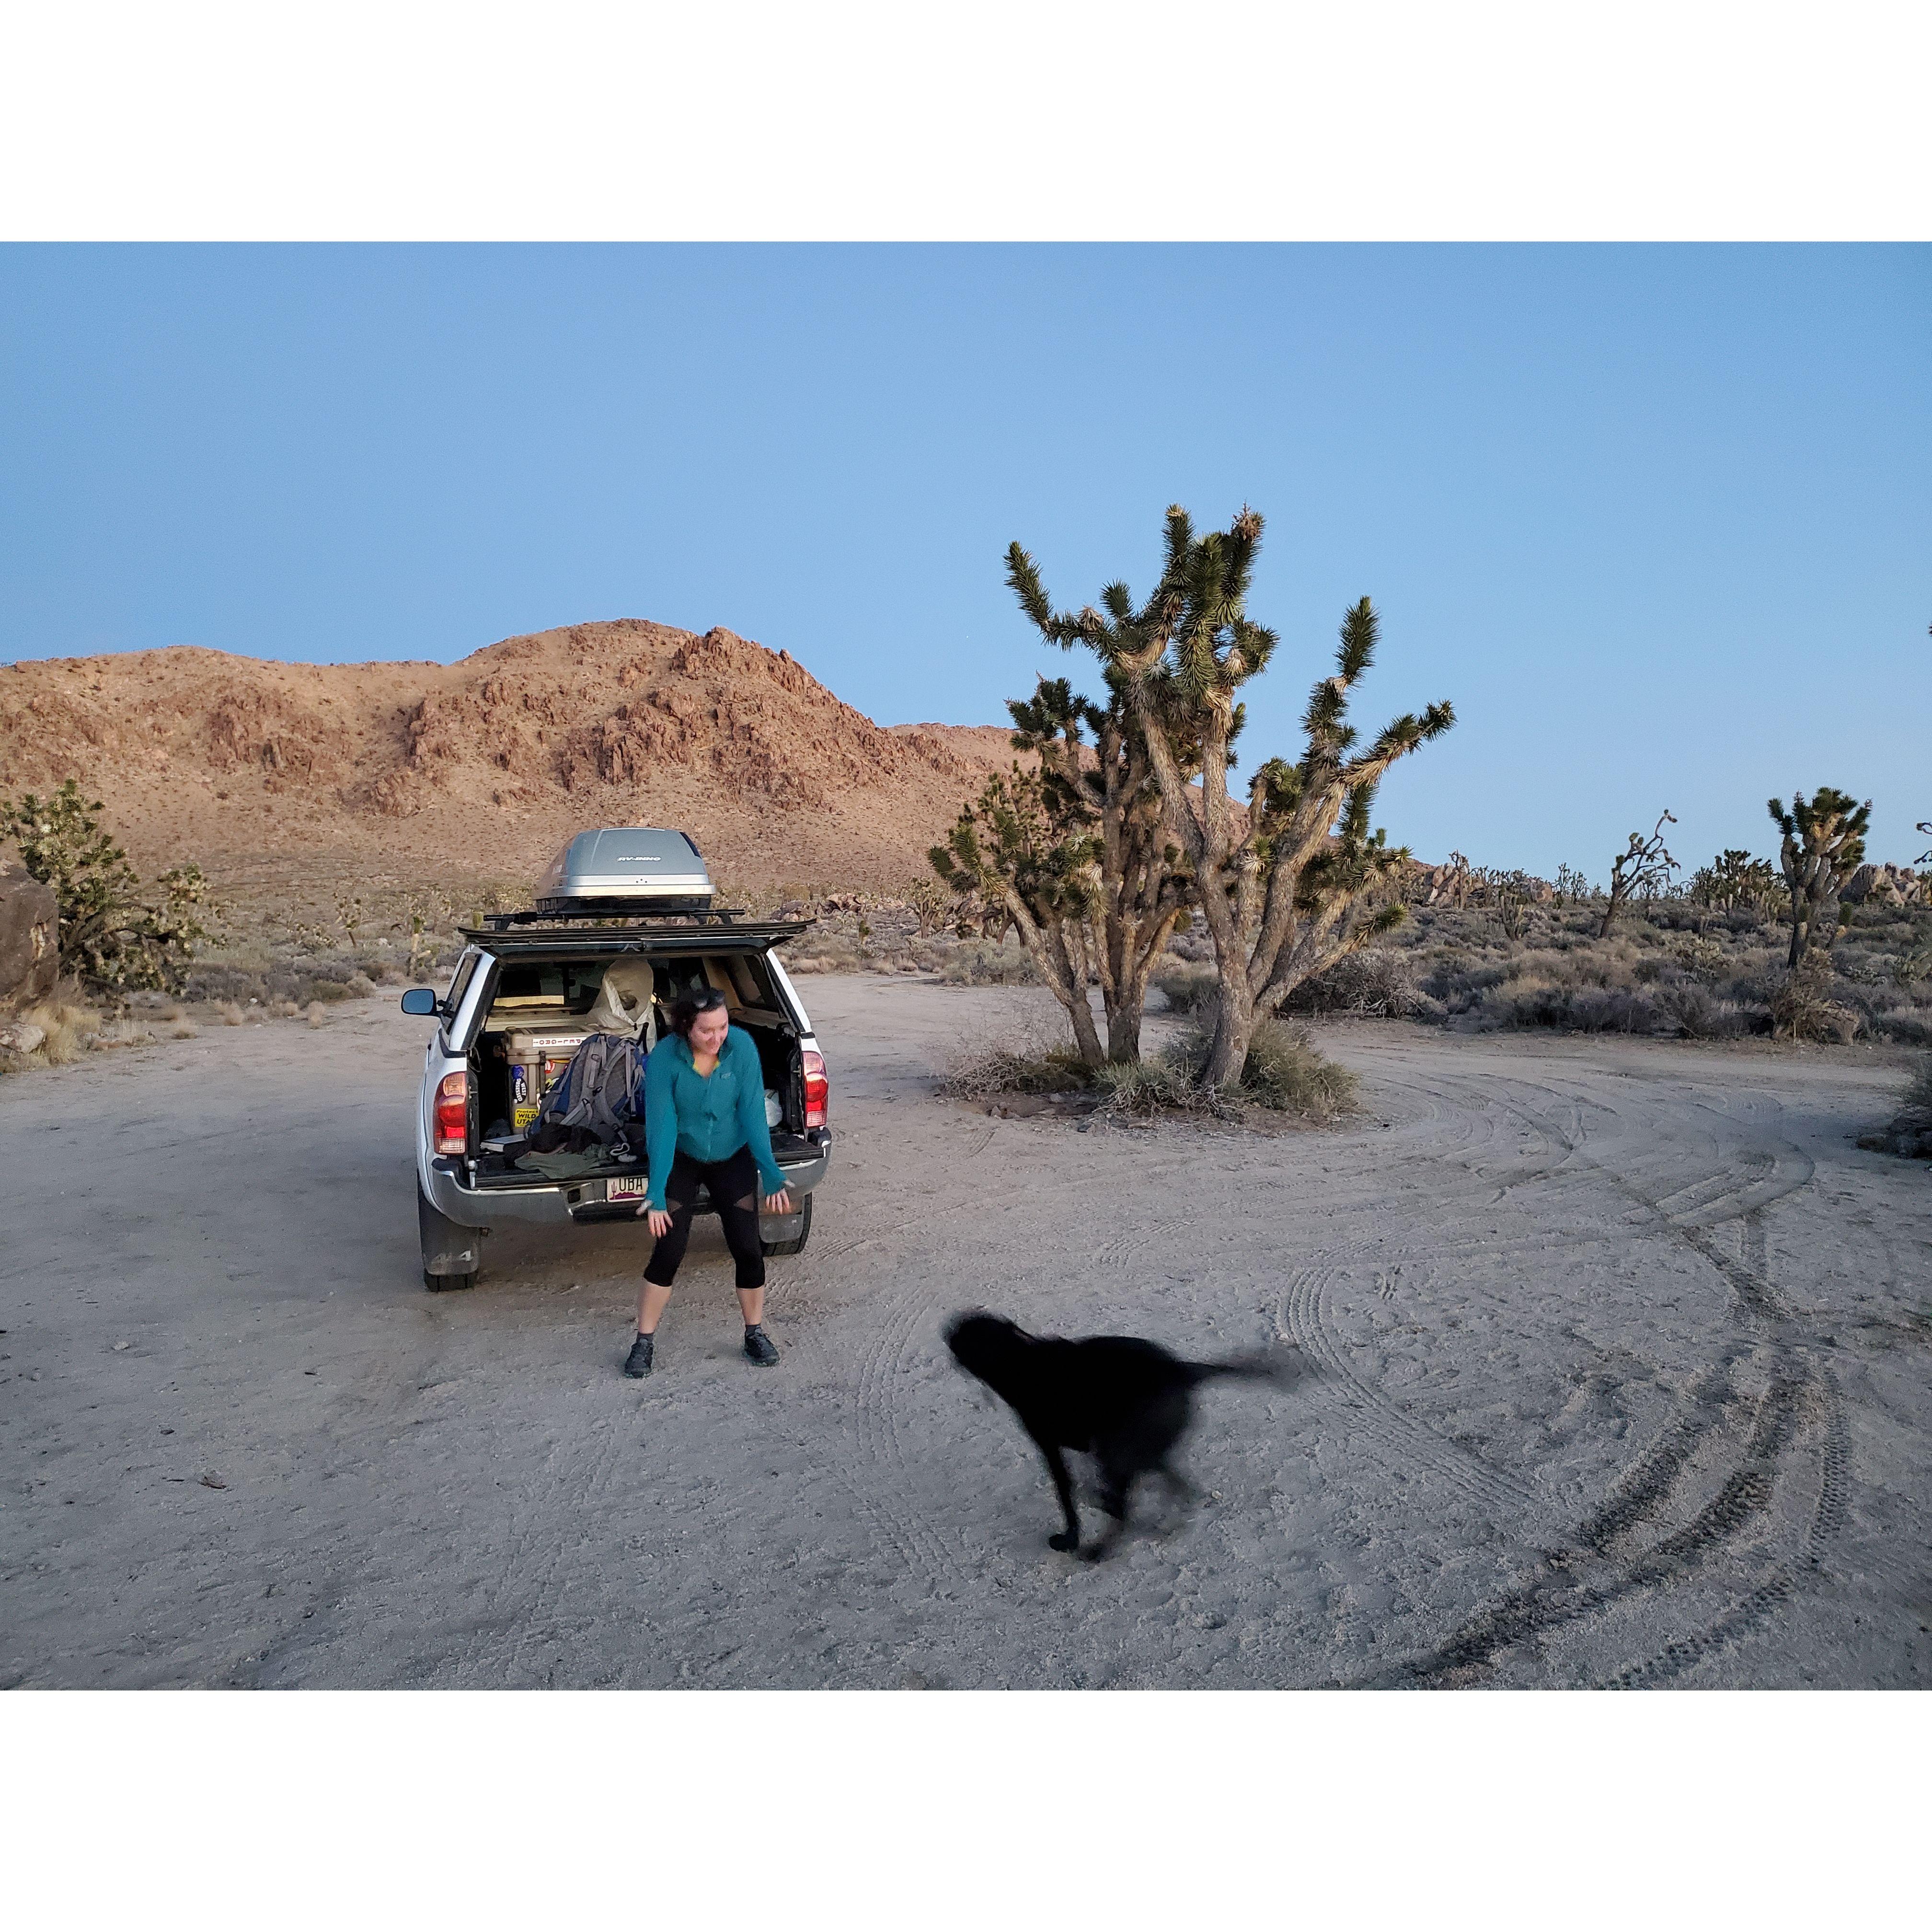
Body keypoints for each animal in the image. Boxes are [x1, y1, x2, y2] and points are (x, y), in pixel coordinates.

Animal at [946, 1306, 1306, 1561]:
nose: (947, 1329)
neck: (1017, 1360)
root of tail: (1183, 1370)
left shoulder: (1049, 1447)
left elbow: (1067, 1498)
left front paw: (1070, 1539)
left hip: (1117, 1450)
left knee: (1128, 1509)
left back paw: (1100, 1549)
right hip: (1136, 1447)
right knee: (1176, 1487)